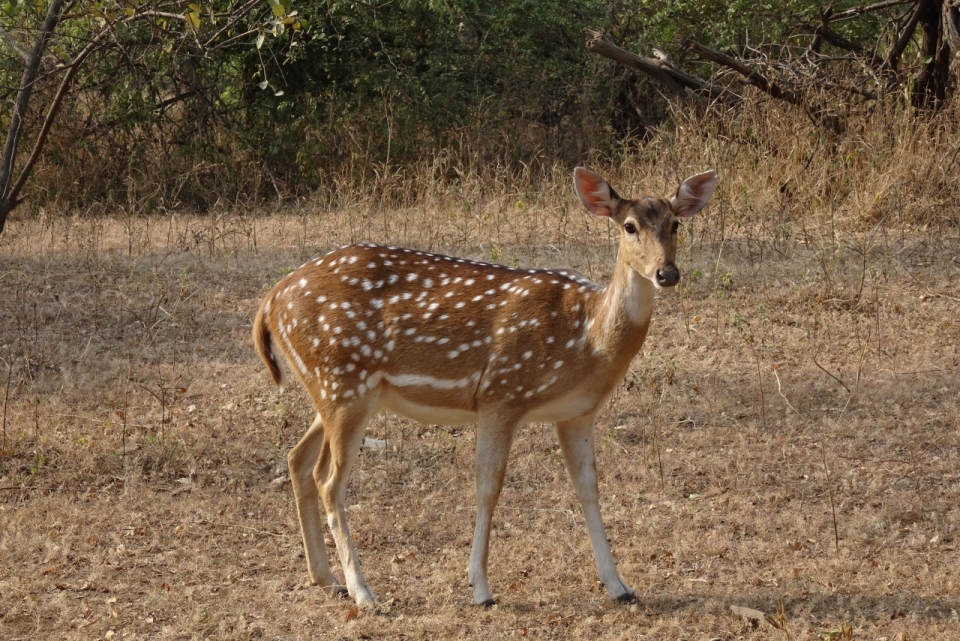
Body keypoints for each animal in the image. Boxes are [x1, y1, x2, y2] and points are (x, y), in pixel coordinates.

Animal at [251, 166, 716, 604]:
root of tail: (270, 301)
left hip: (336, 390)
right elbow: (488, 486)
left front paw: (619, 586)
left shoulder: (577, 414)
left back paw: (326, 578)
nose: (667, 273)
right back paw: (364, 592)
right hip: (343, 383)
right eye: (629, 226)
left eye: (676, 224)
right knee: (329, 480)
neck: (588, 337)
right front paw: (481, 588)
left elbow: (589, 489)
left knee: (297, 459)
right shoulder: (502, 393)